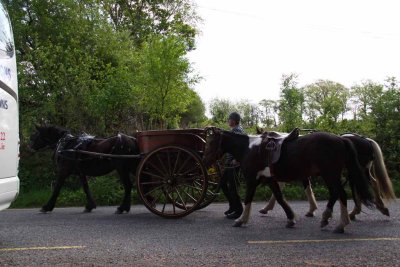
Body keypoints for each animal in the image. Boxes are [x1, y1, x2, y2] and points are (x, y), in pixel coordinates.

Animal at [205, 128, 374, 234]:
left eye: (212, 142)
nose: (205, 160)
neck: (250, 149)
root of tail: (341, 139)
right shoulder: (270, 180)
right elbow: (280, 198)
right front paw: (291, 218)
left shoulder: (252, 180)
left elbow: (248, 199)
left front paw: (241, 220)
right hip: (330, 175)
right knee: (335, 194)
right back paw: (327, 218)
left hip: (330, 175)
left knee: (341, 194)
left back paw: (340, 224)